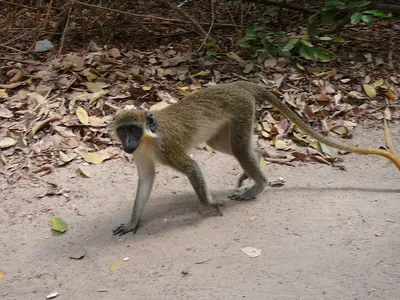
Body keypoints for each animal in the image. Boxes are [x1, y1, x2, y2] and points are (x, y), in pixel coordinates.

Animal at [113, 81, 400, 236]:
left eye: (133, 130)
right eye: (123, 131)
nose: (128, 144)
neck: (148, 138)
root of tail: (238, 84)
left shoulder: (165, 147)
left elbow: (192, 167)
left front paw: (209, 204)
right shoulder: (141, 154)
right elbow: (147, 179)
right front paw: (133, 222)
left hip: (242, 108)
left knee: (240, 149)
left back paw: (258, 184)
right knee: (226, 145)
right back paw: (259, 157)